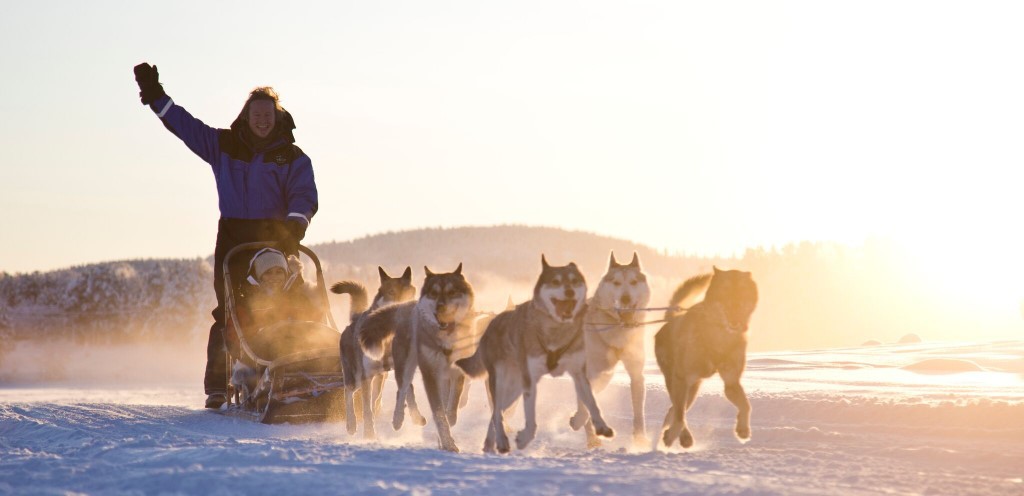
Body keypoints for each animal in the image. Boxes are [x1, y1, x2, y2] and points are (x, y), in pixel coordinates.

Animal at [333, 266, 417, 438]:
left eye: (410, 290)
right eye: (391, 291)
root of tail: (355, 319)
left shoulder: (402, 367)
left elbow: (408, 393)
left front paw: (407, 418)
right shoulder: (365, 377)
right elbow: (366, 410)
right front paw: (369, 434)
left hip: (379, 378)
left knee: (375, 400)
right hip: (356, 377)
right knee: (348, 393)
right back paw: (351, 424)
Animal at [360, 266, 479, 450]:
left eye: (452, 292)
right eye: (433, 293)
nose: (440, 307)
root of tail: (407, 307)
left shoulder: (455, 373)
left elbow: (451, 404)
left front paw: (448, 427)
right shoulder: (430, 374)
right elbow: (438, 413)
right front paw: (448, 443)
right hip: (405, 365)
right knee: (402, 389)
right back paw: (398, 420)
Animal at [458, 257, 614, 455]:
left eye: (574, 281)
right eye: (555, 281)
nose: (569, 292)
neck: (556, 330)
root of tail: (491, 324)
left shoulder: (579, 373)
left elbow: (591, 403)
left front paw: (601, 426)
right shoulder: (530, 379)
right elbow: (530, 421)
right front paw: (523, 439)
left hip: (514, 390)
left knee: (496, 414)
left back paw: (490, 445)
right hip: (502, 383)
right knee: (496, 413)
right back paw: (501, 441)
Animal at [573, 250, 651, 446]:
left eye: (633, 282)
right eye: (616, 283)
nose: (625, 298)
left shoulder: (636, 373)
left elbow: (638, 410)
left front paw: (640, 438)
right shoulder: (588, 373)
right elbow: (586, 406)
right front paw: (579, 420)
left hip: (605, 377)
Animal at [655, 266, 761, 448]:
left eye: (742, 291)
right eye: (725, 291)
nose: (735, 307)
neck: (719, 335)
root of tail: (670, 320)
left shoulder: (731, 382)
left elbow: (747, 406)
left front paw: (743, 429)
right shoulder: (681, 378)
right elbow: (680, 416)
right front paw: (673, 434)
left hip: (692, 389)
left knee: (672, 410)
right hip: (679, 384)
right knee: (678, 410)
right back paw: (680, 436)